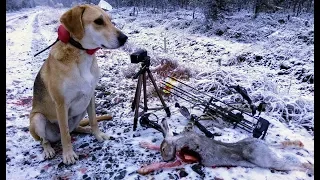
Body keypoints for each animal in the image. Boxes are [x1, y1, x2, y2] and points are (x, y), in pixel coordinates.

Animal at [28, 4, 127, 165]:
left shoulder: (90, 96)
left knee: (75, 129)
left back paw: (86, 130)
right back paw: (48, 149)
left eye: (110, 20)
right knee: (45, 140)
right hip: (37, 119)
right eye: (98, 21)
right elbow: (65, 134)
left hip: (80, 110)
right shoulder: (61, 104)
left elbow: (93, 120)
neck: (81, 54)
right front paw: (68, 154)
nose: (124, 38)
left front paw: (98, 134)